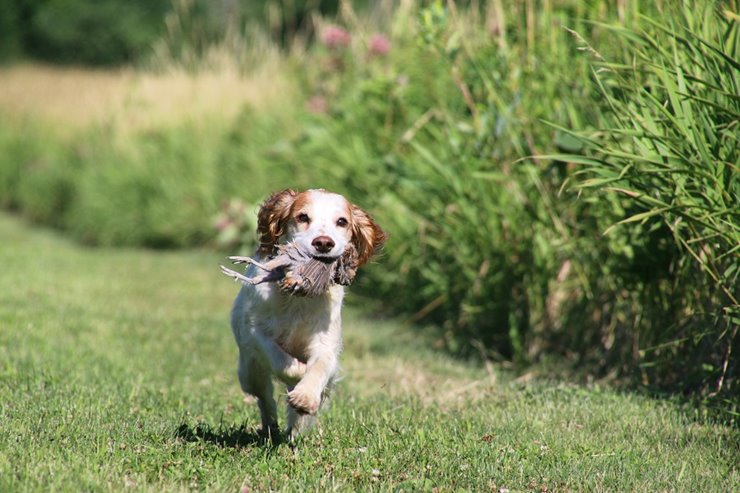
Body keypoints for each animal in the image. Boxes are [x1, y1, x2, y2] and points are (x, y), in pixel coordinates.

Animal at [228, 188, 384, 438]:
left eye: (342, 221)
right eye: (302, 217)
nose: (323, 243)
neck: (297, 300)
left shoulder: (326, 343)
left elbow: (319, 367)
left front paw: (305, 397)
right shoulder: (254, 332)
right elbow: (279, 357)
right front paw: (299, 370)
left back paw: (295, 427)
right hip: (249, 371)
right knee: (264, 397)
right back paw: (271, 425)